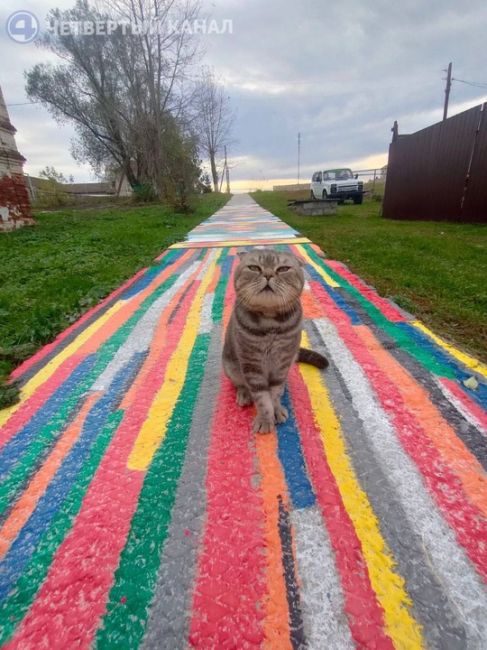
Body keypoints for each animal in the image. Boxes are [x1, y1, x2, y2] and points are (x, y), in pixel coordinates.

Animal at [223, 248, 330, 430]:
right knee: (240, 384)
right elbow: (262, 398)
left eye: (283, 269)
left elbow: (274, 393)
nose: (267, 274)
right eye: (254, 268)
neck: (270, 323)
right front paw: (265, 420)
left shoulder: (282, 363)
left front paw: (277, 410)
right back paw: (244, 394)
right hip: (230, 367)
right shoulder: (252, 364)